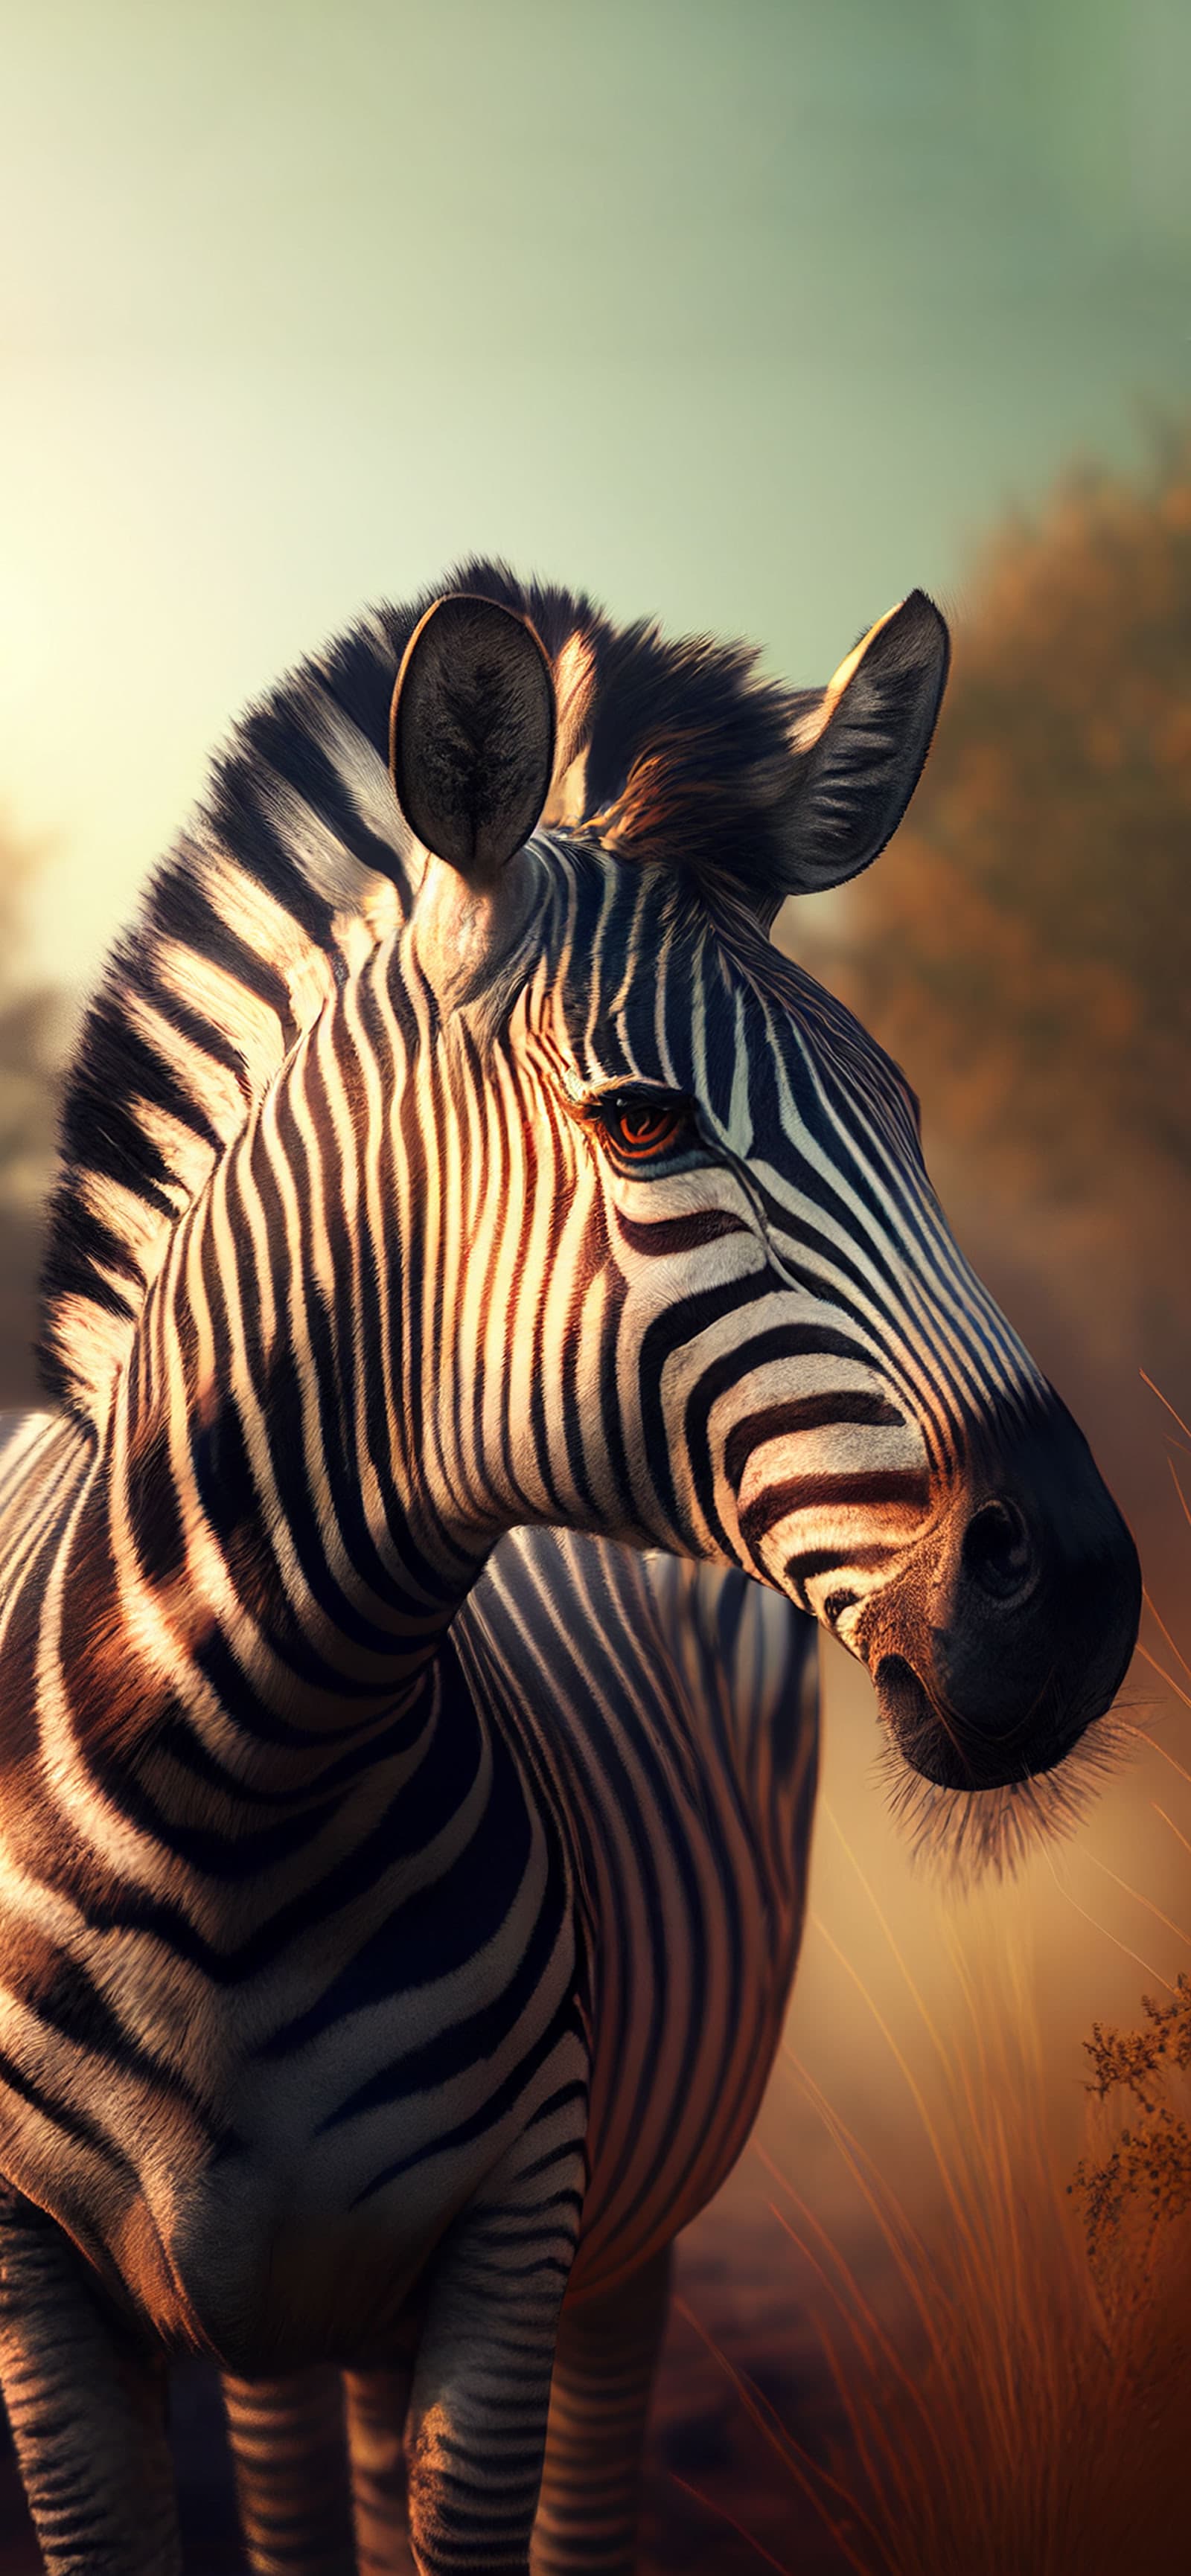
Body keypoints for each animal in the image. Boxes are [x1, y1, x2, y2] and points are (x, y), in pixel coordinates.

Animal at [0, 567, 1139, 2576]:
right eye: (641, 1120)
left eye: (909, 1111)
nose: (1074, 1593)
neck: (229, 1782)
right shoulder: (37, 2290)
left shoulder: (511, 2238)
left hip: (618, 2242)